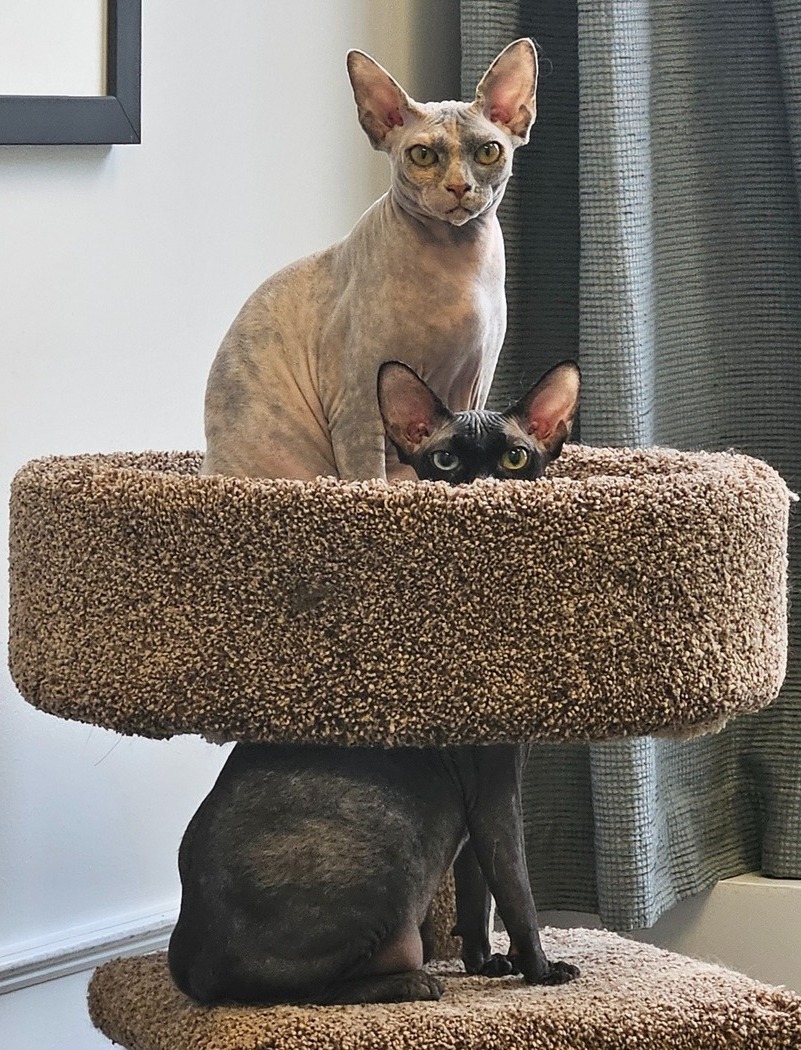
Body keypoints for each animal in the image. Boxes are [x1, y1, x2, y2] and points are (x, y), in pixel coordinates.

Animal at [201, 38, 537, 480]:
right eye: (423, 156)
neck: (459, 261)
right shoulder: (357, 400)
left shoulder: (473, 387)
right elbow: (367, 476)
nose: (459, 186)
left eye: (487, 151)